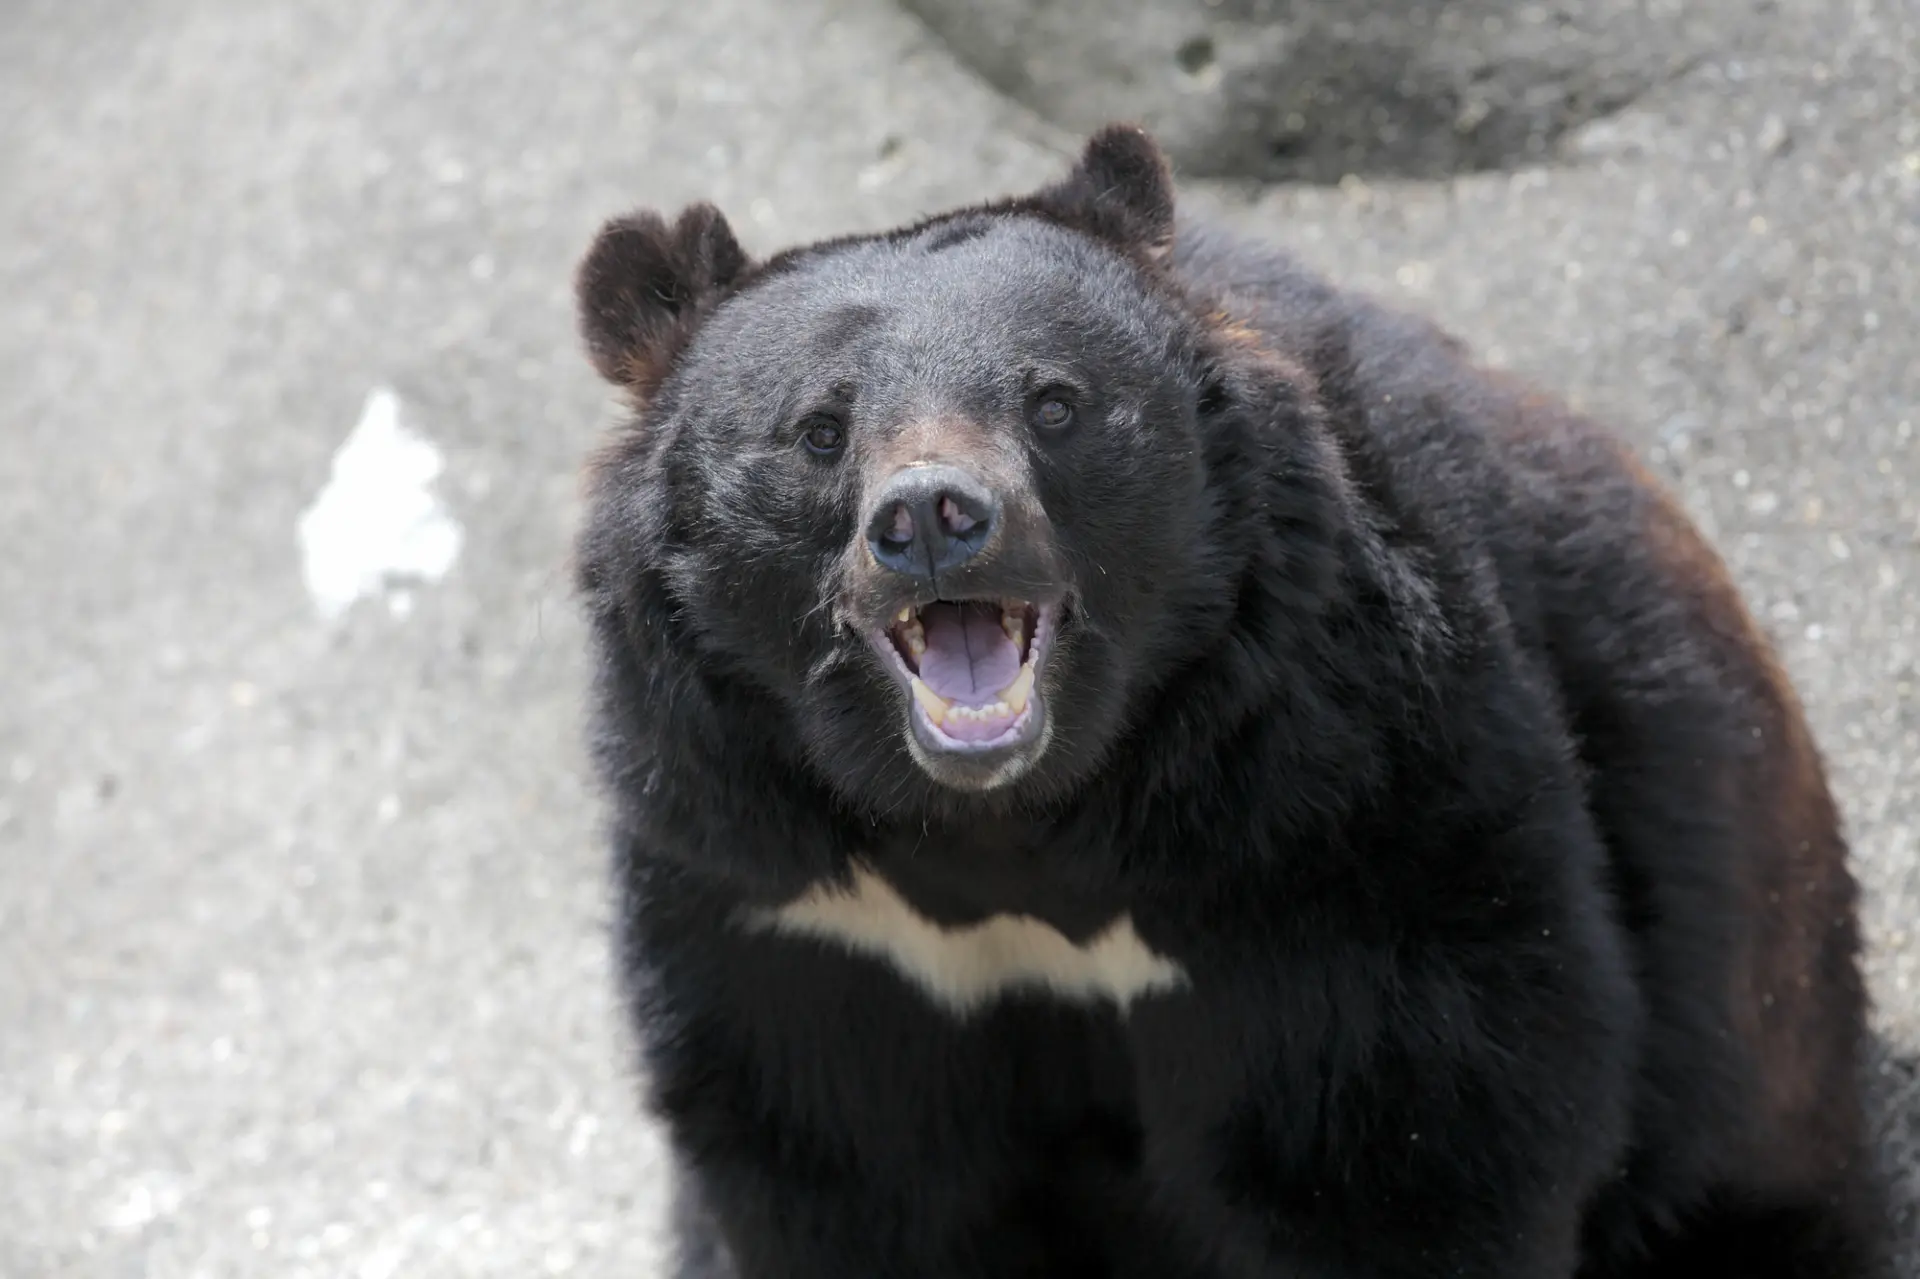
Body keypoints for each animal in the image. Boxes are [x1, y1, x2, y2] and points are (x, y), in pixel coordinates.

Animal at [570, 125, 1882, 1277]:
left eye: (1054, 402)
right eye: (819, 430)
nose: (934, 520)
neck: (1008, 826)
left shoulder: (1339, 816)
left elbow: (1406, 1145)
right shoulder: (784, 905)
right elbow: (853, 1173)